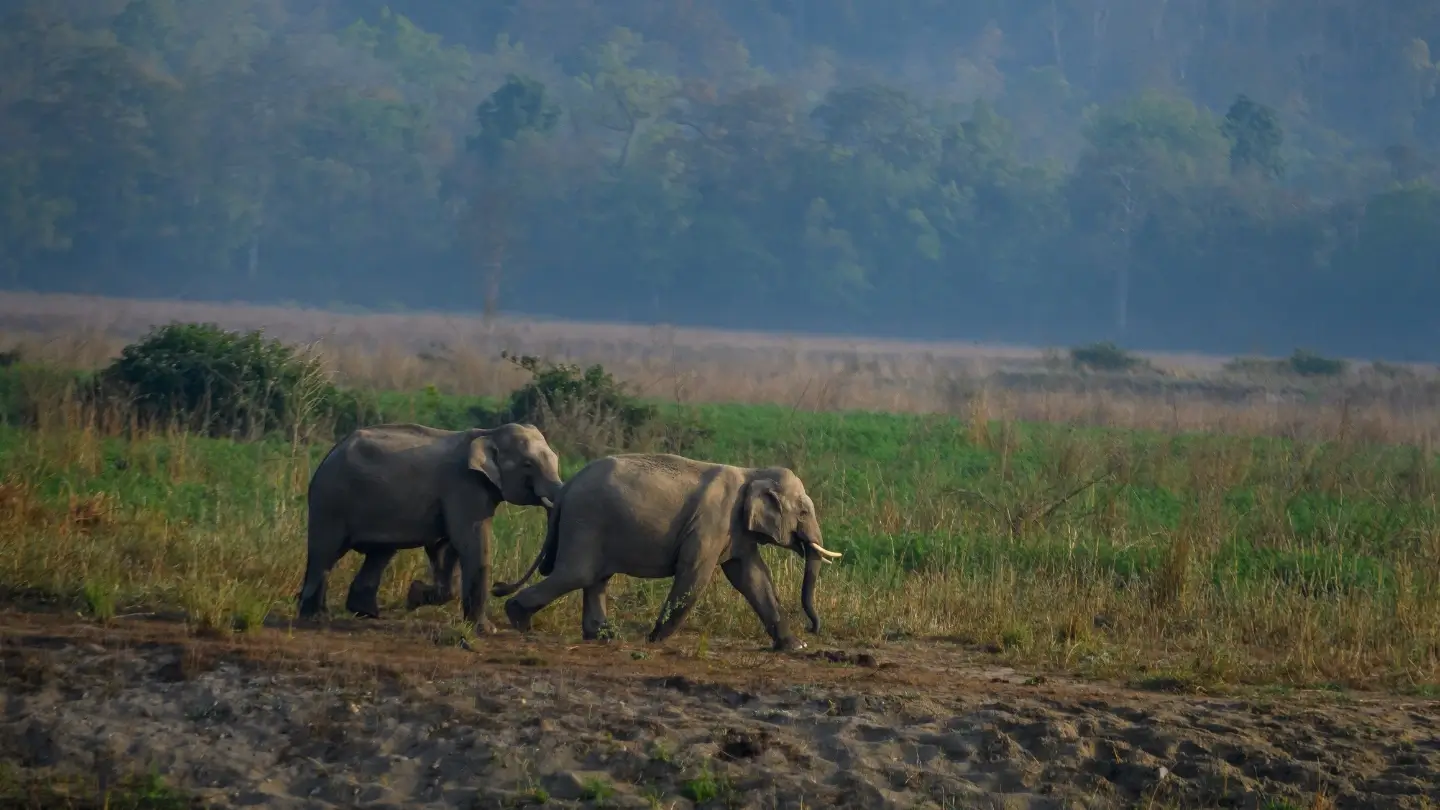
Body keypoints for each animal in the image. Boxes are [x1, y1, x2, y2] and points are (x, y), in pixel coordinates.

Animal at [297, 422, 564, 632]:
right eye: (528, 464)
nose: (499, 587)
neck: (489, 432)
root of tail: (330, 453)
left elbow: (448, 548)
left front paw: (414, 596)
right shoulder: (463, 485)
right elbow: (471, 543)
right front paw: (486, 630)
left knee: (379, 553)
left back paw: (367, 614)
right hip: (330, 500)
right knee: (325, 552)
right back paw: (315, 617)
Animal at [491, 453, 843, 652]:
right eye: (803, 513)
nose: (813, 628)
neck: (752, 472)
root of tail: (566, 488)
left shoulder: (737, 531)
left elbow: (752, 577)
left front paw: (795, 647)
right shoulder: (712, 522)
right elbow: (694, 573)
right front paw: (654, 640)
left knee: (595, 577)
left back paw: (603, 636)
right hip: (585, 520)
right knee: (578, 573)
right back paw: (518, 618)